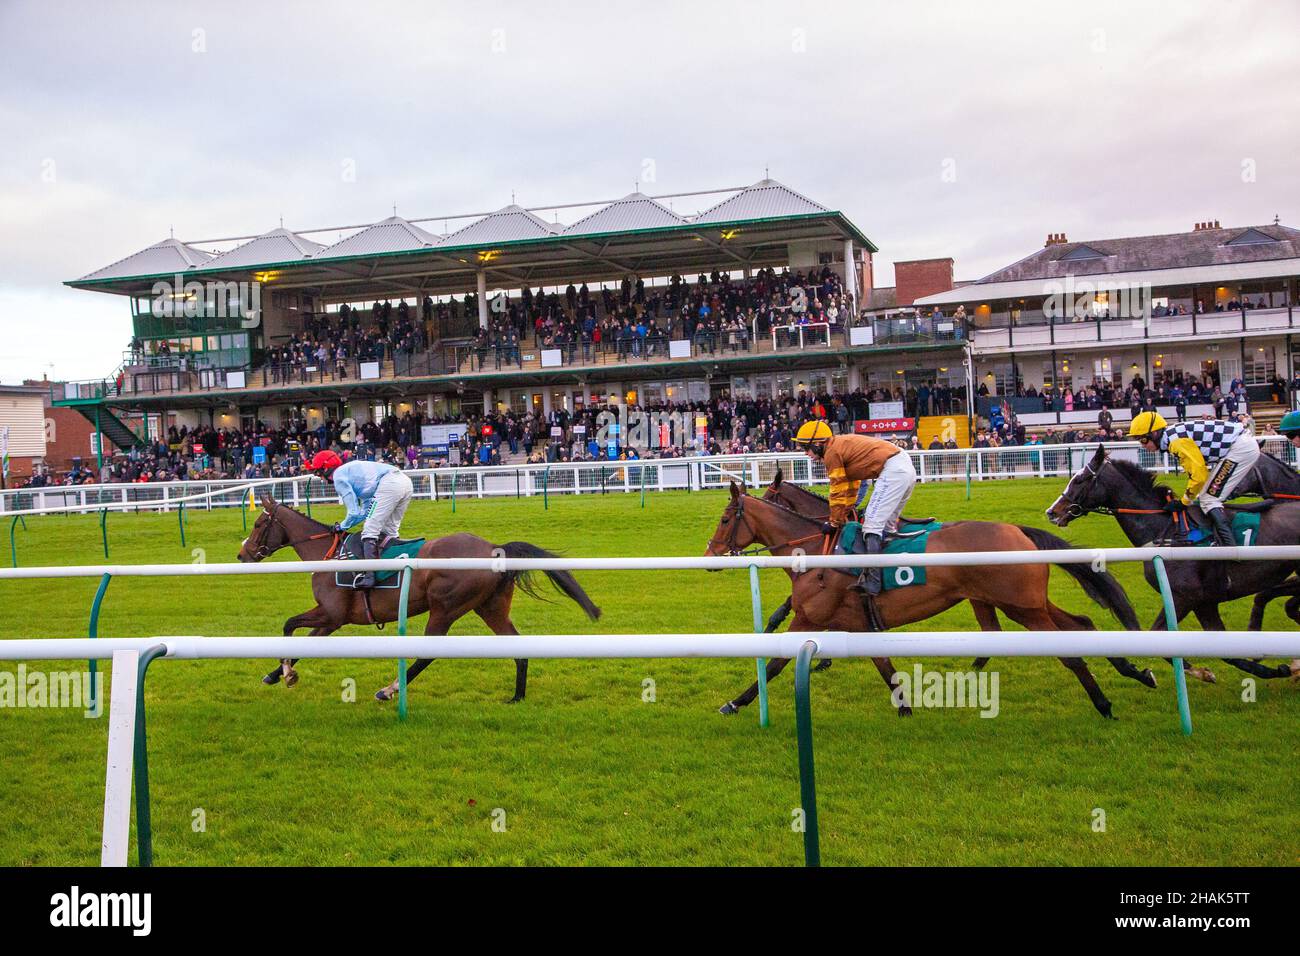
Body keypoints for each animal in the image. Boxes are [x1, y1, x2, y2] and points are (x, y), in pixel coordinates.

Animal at [236, 494, 600, 702]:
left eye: (258, 524)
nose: (243, 554)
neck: (328, 554)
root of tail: (494, 548)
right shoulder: (332, 619)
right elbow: (304, 641)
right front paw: (276, 674)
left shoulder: (332, 613)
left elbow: (288, 625)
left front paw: (285, 673)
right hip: (491, 607)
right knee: (518, 646)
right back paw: (517, 696)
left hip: (445, 608)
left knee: (427, 653)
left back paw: (389, 690)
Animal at [707, 486, 1144, 717]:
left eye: (726, 519)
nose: (710, 555)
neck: (820, 552)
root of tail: (1016, 530)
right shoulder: (858, 624)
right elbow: (885, 666)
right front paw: (904, 707)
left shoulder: (811, 617)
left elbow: (776, 664)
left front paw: (736, 702)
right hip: (1024, 602)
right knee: (1082, 624)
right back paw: (1136, 671)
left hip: (1021, 606)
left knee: (1069, 651)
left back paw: (1104, 703)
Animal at [1045, 447, 1300, 681]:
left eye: (1079, 479)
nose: (1052, 512)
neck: (1167, 531)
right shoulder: (1204, 601)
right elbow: (1224, 650)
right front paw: (1271, 670)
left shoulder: (1184, 596)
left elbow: (1160, 636)